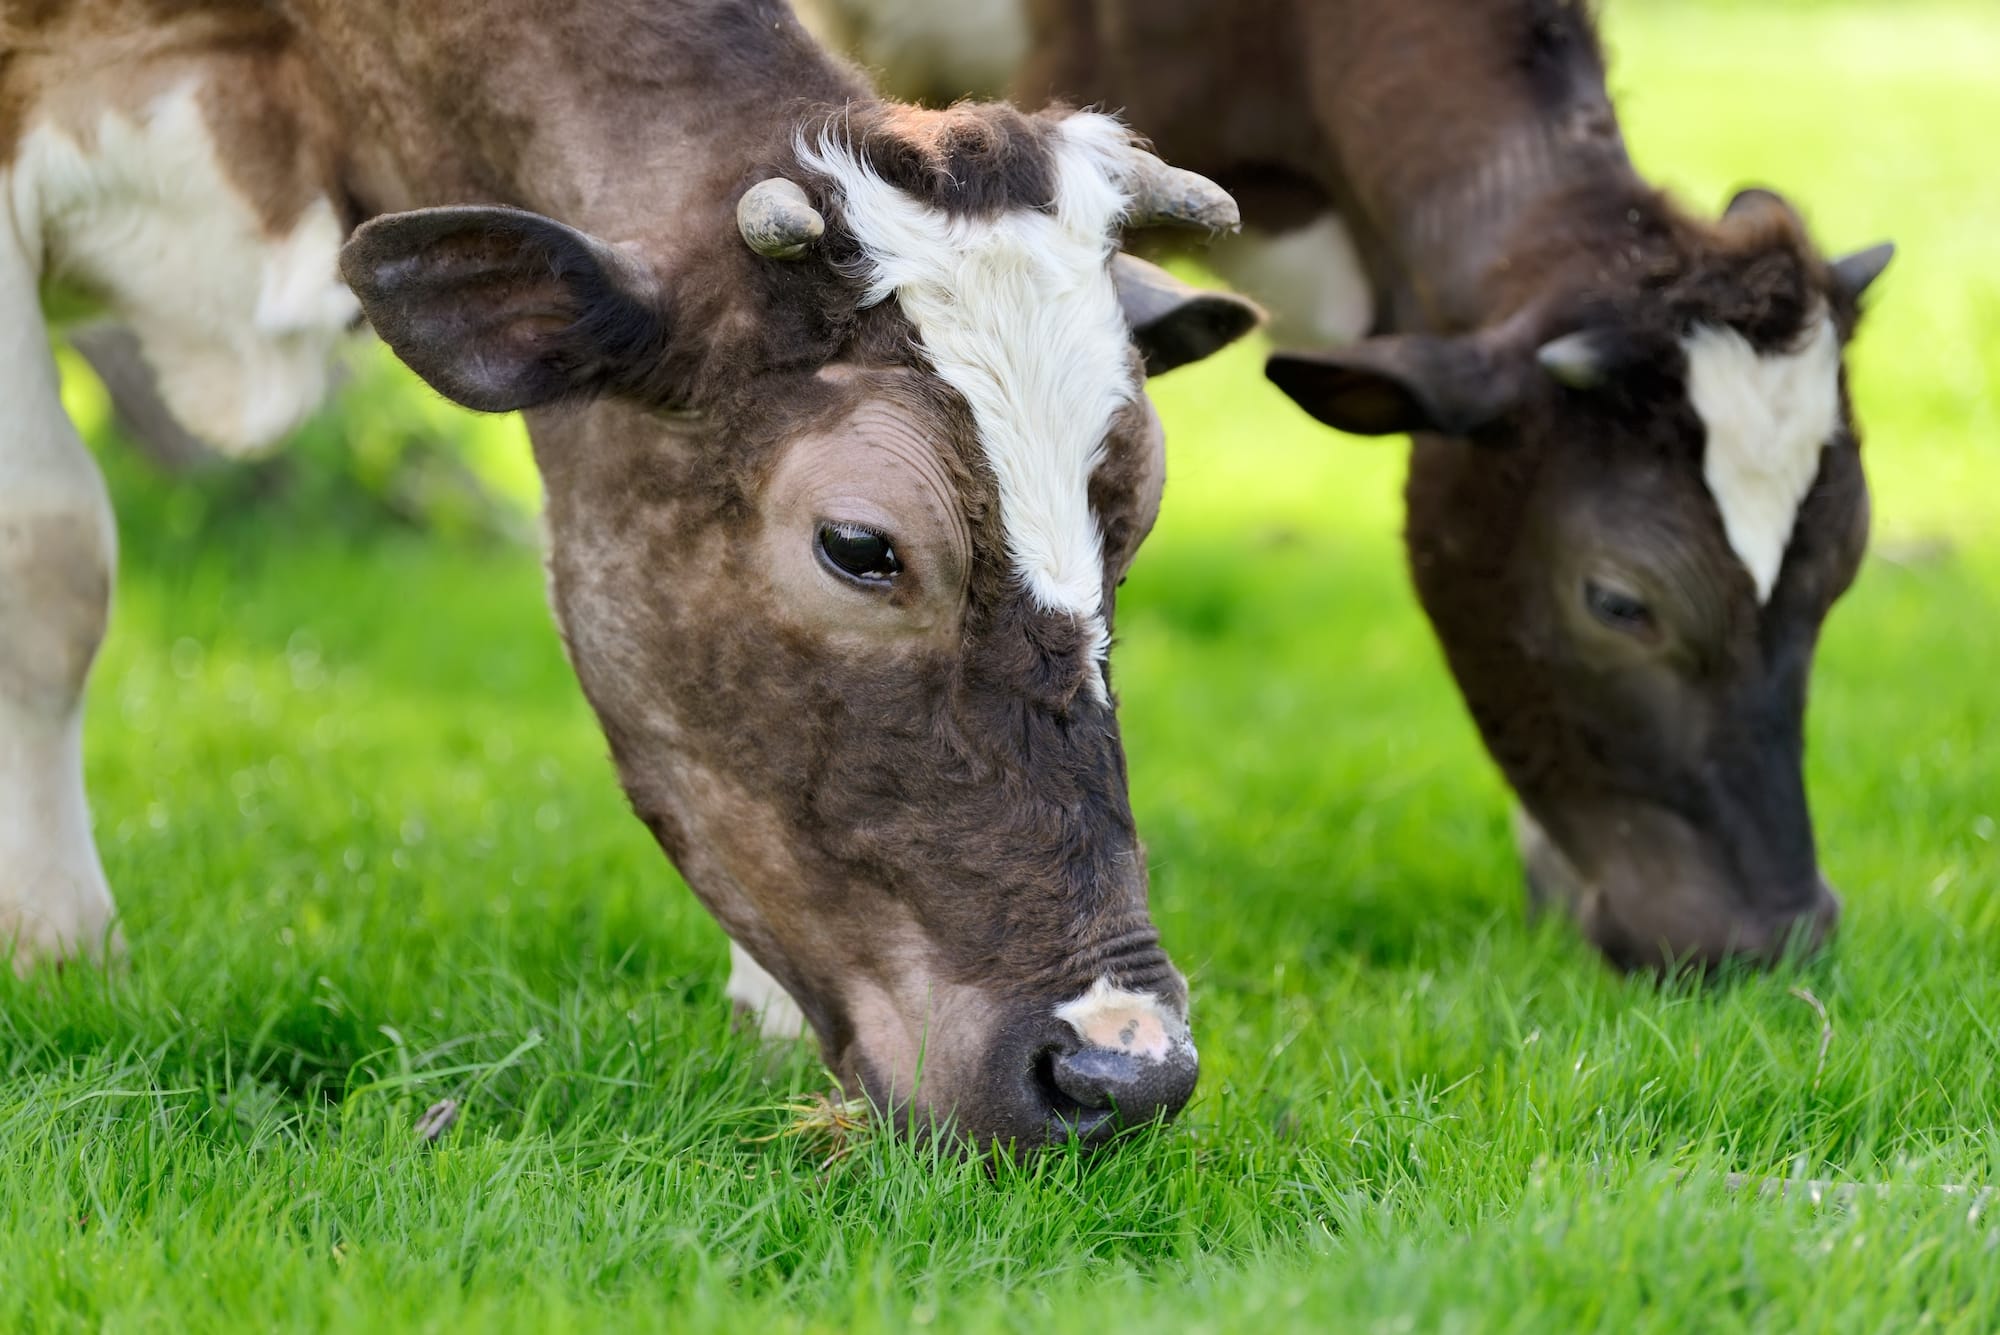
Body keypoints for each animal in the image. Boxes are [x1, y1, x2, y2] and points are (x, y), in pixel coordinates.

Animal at [0, 0, 1256, 1151]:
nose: (1124, 1067)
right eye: (857, 547)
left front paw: (767, 1016)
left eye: (1136, 513)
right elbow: (48, 552)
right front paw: (56, 942)